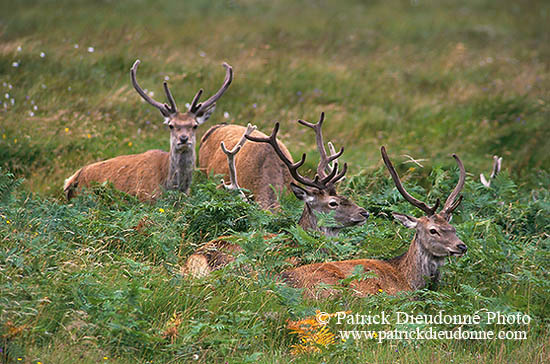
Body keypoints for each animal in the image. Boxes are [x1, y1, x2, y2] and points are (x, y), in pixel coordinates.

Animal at [64, 60, 233, 200]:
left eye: (195, 125)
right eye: (171, 125)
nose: (184, 138)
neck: (171, 186)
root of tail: (72, 180)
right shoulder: (146, 198)